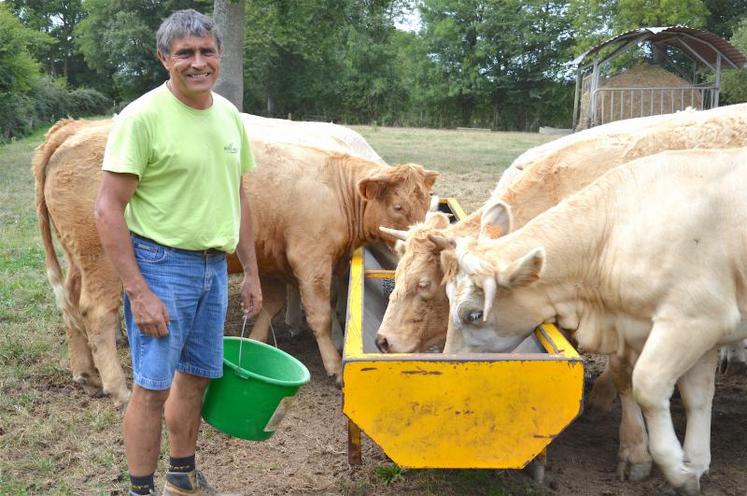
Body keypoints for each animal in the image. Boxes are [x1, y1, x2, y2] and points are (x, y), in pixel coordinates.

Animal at [33, 118, 438, 404]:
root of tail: (75, 131)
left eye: (426, 204)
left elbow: (270, 306)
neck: (334, 185)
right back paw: (118, 389)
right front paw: (333, 366)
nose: (416, 242)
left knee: (72, 306)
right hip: (101, 260)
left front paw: (256, 347)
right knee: (96, 313)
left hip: (78, 260)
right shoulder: (311, 259)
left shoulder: (273, 259)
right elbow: (320, 314)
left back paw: (85, 373)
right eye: (398, 207)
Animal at [438, 148, 747, 496]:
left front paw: (676, 468)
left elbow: (648, 385)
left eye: (474, 314)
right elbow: (698, 397)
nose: (450, 360)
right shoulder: (696, 332)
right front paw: (693, 465)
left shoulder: (695, 318)